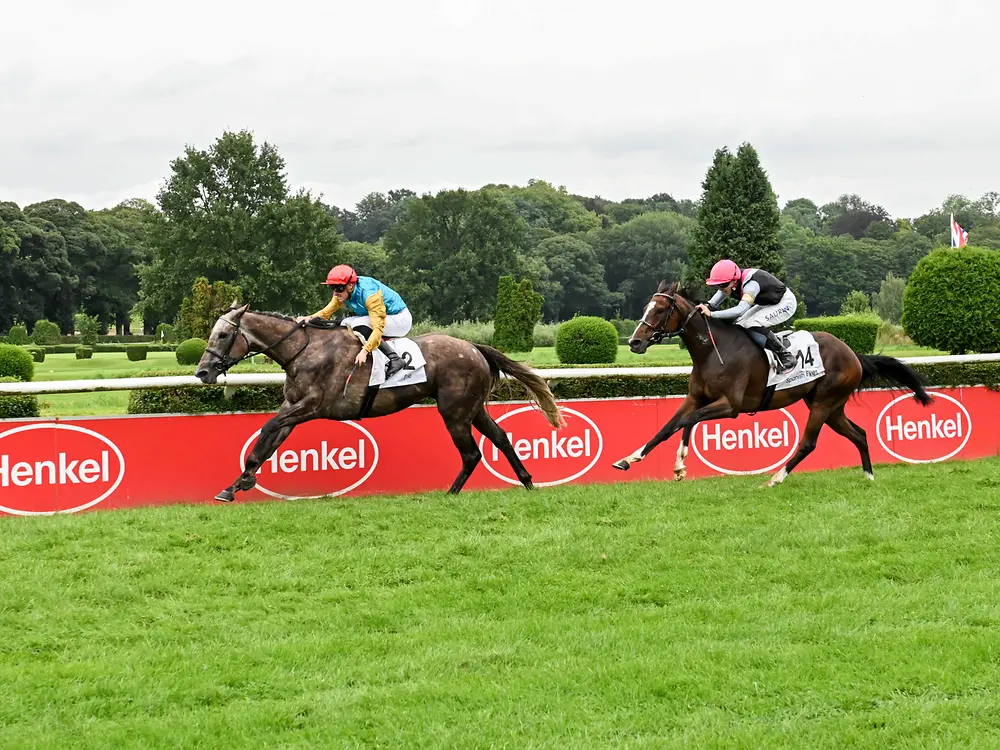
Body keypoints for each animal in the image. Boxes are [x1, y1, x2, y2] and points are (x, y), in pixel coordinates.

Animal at [194, 302, 568, 502]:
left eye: (223, 335)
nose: (202, 372)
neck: (304, 351)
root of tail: (474, 347)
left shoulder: (313, 406)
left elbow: (266, 429)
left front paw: (244, 481)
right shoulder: (293, 407)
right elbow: (267, 443)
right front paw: (234, 485)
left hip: (454, 411)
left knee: (472, 453)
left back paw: (451, 493)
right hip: (470, 408)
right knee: (500, 438)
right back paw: (527, 481)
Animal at [612, 282, 932, 488]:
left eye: (660, 310)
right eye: (647, 307)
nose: (634, 342)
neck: (714, 350)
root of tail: (853, 353)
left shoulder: (730, 406)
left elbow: (687, 421)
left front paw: (678, 465)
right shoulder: (696, 397)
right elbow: (670, 426)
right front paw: (631, 459)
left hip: (824, 403)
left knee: (808, 443)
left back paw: (776, 478)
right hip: (832, 407)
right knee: (860, 434)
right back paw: (868, 476)